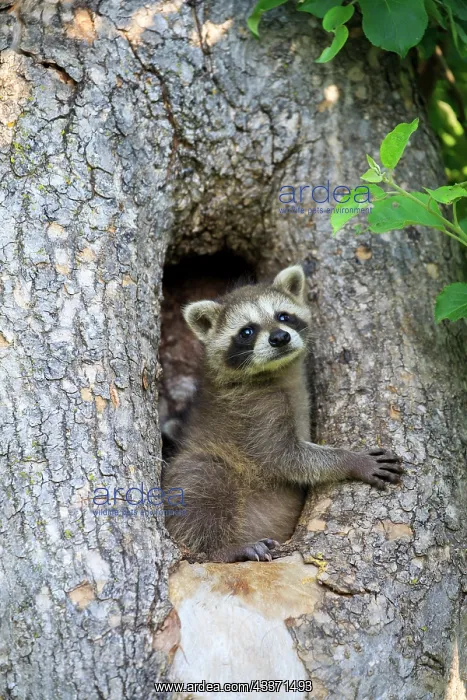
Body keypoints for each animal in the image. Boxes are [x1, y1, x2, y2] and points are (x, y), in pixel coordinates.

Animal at [162, 265, 402, 562]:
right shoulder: (255, 413)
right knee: (202, 483)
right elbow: (284, 458)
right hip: (201, 469)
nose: (279, 337)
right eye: (247, 331)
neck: (277, 373)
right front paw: (350, 460)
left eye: (283, 316)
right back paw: (223, 549)